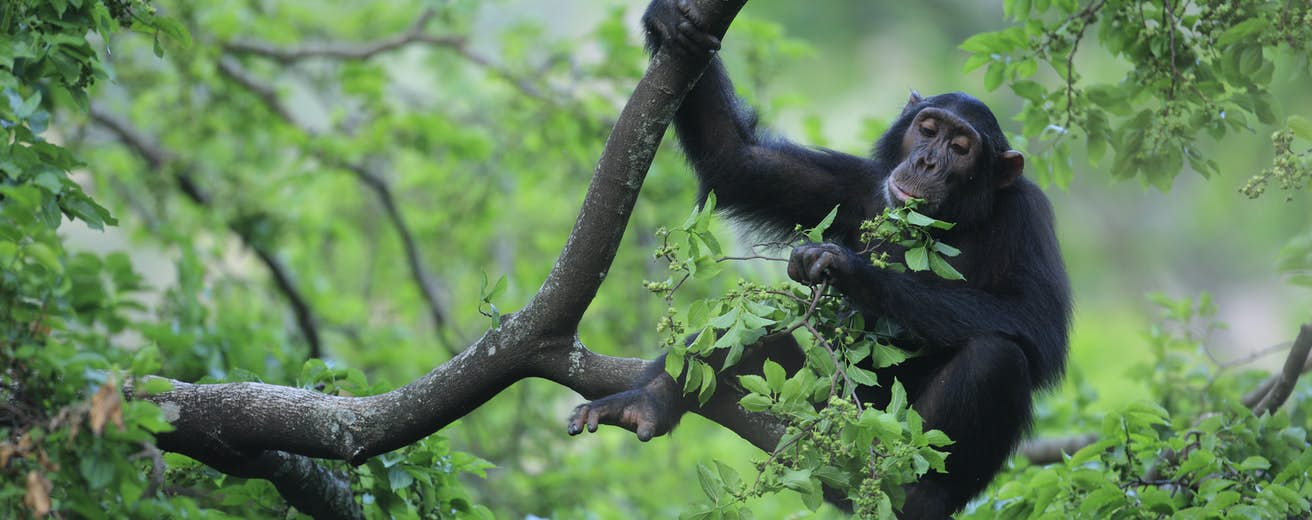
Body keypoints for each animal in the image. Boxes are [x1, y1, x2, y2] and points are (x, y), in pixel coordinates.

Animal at [569, 0, 1070, 514]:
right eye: (927, 129)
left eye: (960, 147)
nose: (928, 160)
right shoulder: (856, 185)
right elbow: (737, 161)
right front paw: (672, 20)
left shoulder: (1027, 215)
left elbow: (1034, 319)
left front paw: (844, 266)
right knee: (760, 323)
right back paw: (645, 402)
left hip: (892, 436)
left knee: (996, 356)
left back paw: (922, 492)